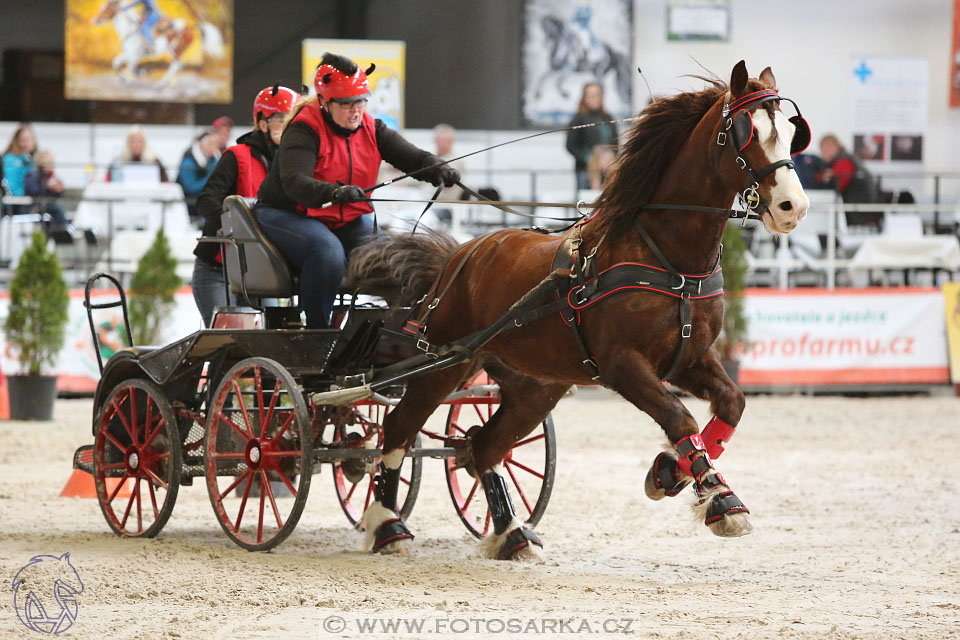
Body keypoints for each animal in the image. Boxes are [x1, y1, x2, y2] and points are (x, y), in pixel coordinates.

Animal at [348, 61, 808, 560]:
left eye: (791, 131)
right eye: (746, 132)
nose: (794, 206)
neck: (668, 258)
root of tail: (461, 253)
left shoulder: (690, 358)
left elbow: (732, 403)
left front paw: (670, 471)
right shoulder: (622, 365)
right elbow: (678, 417)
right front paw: (721, 499)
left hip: (534, 385)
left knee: (484, 446)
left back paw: (512, 532)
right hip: (445, 364)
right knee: (399, 429)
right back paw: (386, 524)